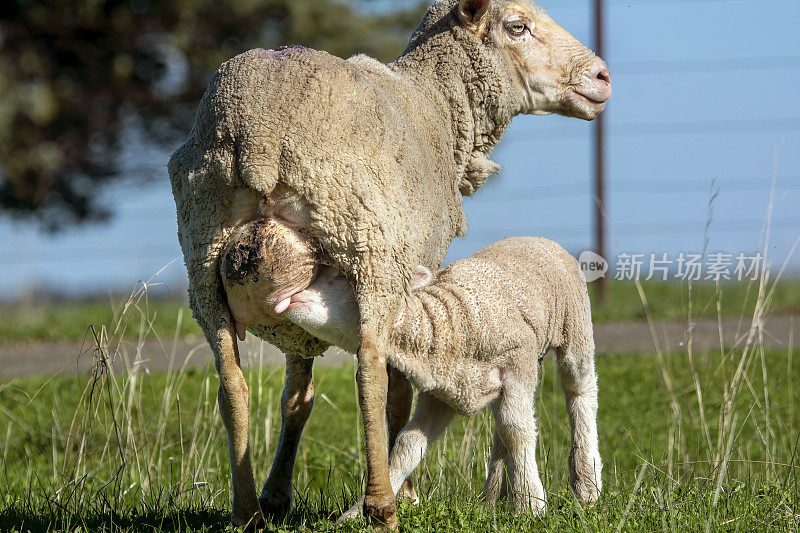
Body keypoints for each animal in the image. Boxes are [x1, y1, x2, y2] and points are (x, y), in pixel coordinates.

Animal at [166, 0, 608, 524]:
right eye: (516, 26)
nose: (602, 76)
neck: (439, 110)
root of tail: (257, 137)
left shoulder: (297, 305)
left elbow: (297, 397)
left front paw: (278, 493)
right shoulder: (411, 264)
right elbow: (400, 388)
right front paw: (410, 492)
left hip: (203, 263)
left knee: (232, 385)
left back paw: (248, 510)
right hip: (368, 250)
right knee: (370, 376)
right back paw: (381, 505)